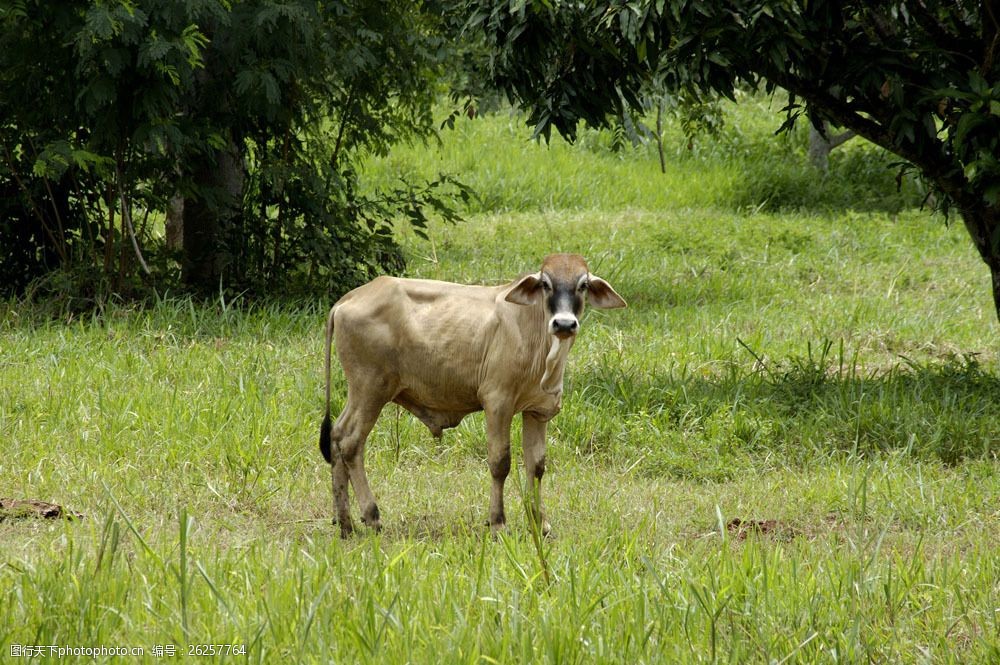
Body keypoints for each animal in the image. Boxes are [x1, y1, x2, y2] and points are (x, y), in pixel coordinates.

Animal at [318, 252, 624, 536]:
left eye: (582, 285)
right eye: (546, 284)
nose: (564, 324)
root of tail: (349, 298)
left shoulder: (537, 411)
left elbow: (536, 467)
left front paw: (540, 524)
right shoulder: (497, 403)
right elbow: (500, 463)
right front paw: (498, 522)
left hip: (360, 393)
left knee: (336, 436)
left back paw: (344, 522)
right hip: (370, 389)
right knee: (350, 443)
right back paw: (371, 516)